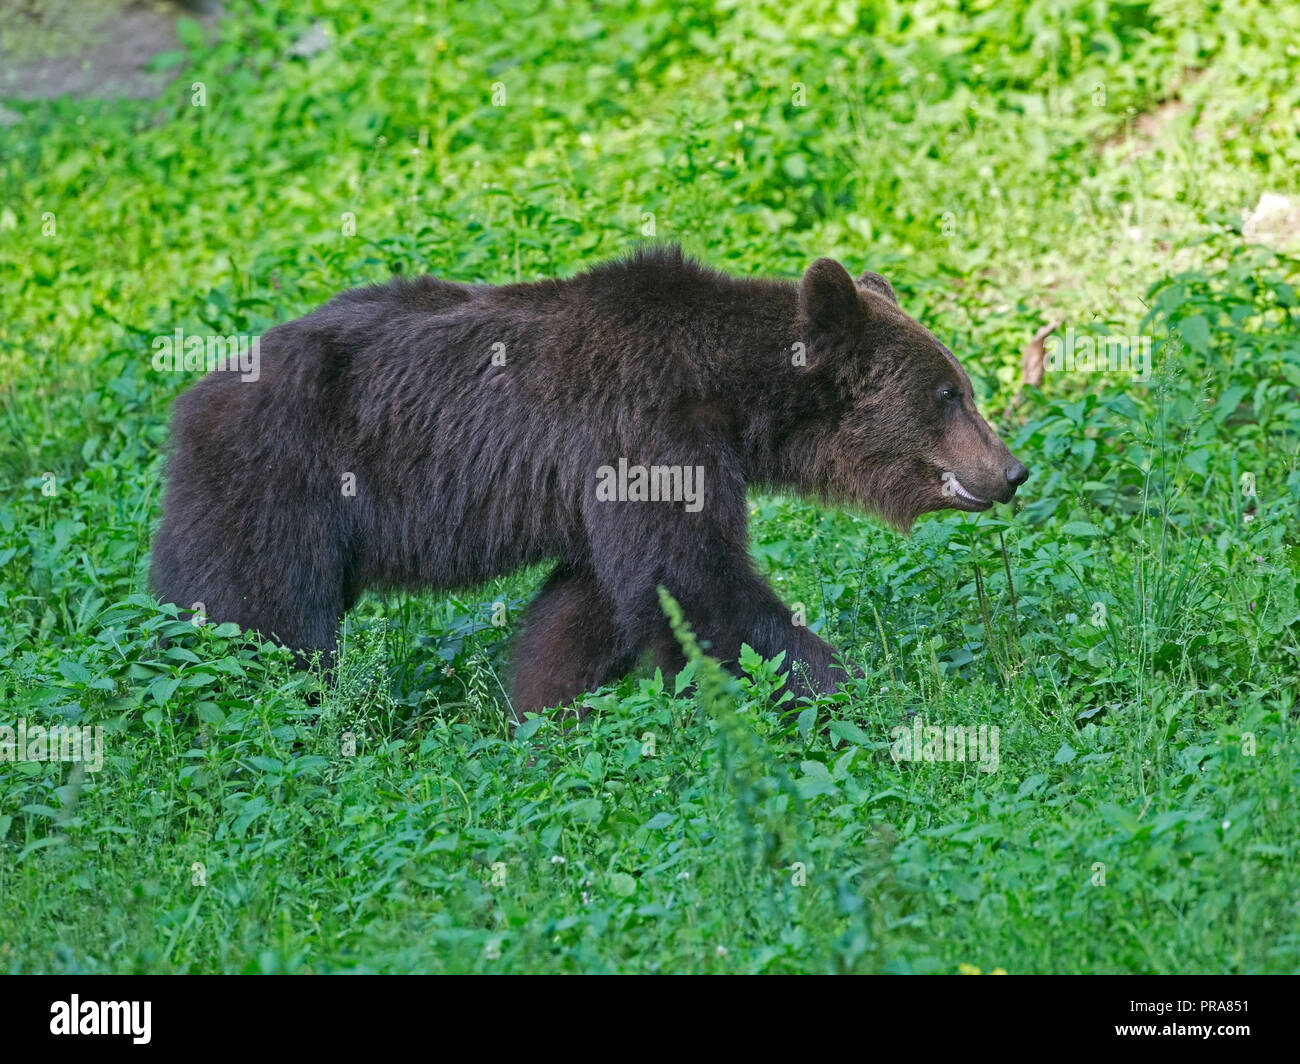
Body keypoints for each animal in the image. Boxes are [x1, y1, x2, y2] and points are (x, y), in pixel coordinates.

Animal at [149, 244, 1024, 718]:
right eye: (948, 394)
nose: (1013, 469)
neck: (729, 398)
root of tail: (192, 398)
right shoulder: (648, 434)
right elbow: (703, 589)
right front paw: (857, 694)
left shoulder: (612, 488)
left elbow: (590, 609)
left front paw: (541, 716)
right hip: (277, 488)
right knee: (255, 629)